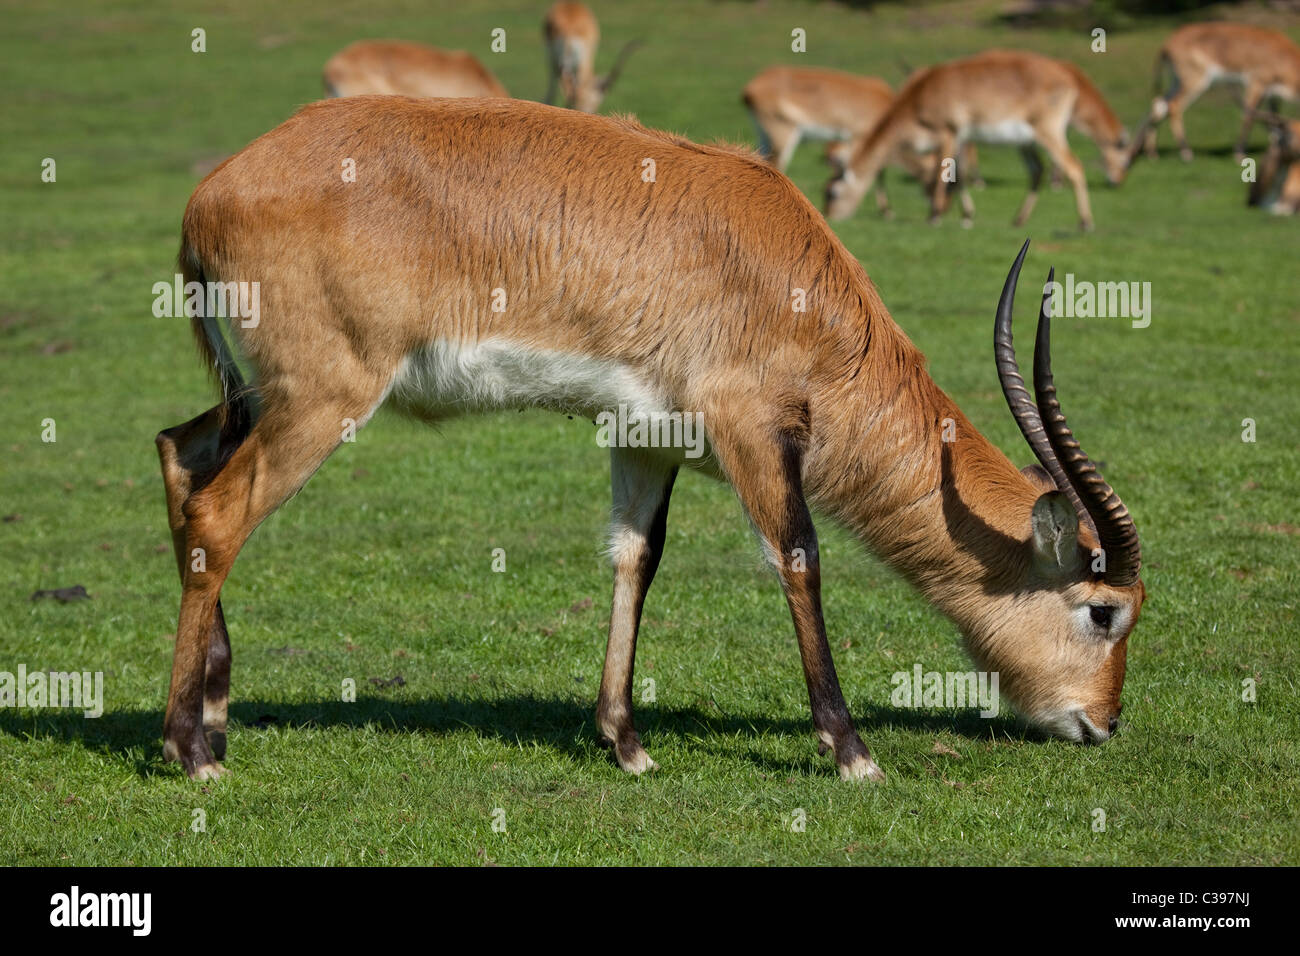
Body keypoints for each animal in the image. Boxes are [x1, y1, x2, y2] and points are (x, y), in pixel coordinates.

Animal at [157, 97, 1144, 785]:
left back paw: (215, 710)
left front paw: (626, 742)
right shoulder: (752, 431)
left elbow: (638, 556)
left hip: (263, 396)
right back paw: (189, 751)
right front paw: (851, 751)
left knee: (179, 452)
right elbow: (799, 555)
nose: (1103, 722)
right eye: (1106, 609)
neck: (789, 273)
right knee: (218, 512)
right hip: (324, 398)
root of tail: (209, 193)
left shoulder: (647, 438)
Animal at [826, 51, 1133, 231]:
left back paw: (1085, 222)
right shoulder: (962, 138)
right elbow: (959, 176)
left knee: (1073, 166)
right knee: (1037, 171)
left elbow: (943, 174)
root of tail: (1070, 79)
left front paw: (934, 215)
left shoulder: (948, 132)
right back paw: (1018, 220)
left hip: (1048, 131)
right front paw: (965, 216)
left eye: (832, 193)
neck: (918, 99)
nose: (830, 215)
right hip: (1026, 141)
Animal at [1128, 22, 1300, 165]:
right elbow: (1248, 117)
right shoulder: (1256, 84)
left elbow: (1273, 116)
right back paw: (1186, 152)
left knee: (1158, 104)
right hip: (1197, 81)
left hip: (1176, 80)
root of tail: (1166, 45)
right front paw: (1239, 153)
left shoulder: (1272, 94)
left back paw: (1152, 153)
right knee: (1174, 106)